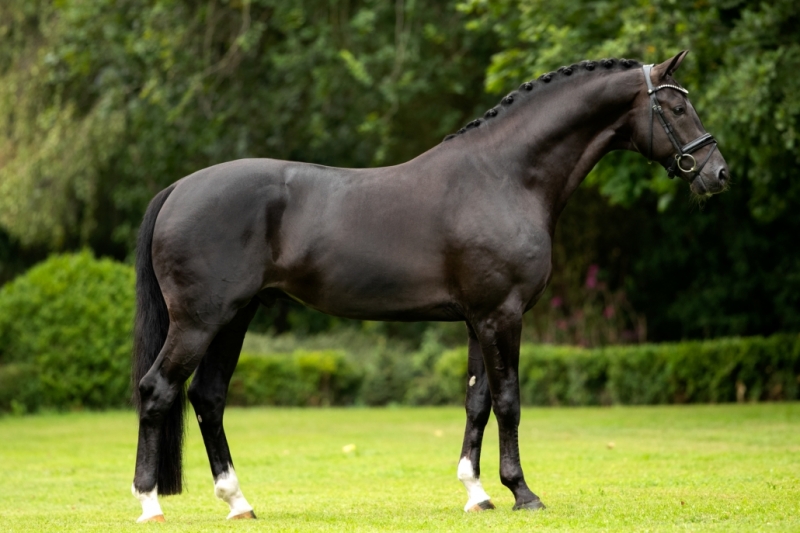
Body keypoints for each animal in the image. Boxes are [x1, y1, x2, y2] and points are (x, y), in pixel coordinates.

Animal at [130, 51, 724, 520]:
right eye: (676, 108)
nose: (717, 173)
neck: (503, 176)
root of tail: (179, 188)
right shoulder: (502, 314)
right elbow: (508, 400)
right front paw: (522, 492)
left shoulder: (478, 319)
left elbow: (477, 401)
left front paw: (477, 494)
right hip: (201, 320)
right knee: (158, 390)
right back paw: (150, 503)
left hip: (235, 317)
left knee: (207, 398)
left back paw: (239, 503)